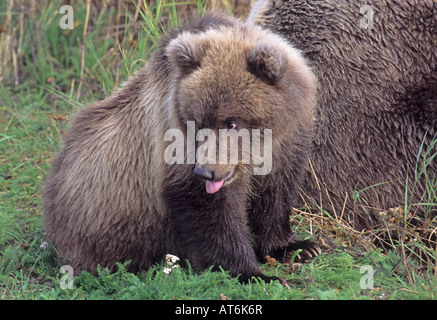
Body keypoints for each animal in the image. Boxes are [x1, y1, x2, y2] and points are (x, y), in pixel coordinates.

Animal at [43, 11, 320, 282]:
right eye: (197, 121)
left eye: (232, 122)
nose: (205, 171)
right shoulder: (174, 138)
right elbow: (210, 210)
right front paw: (254, 273)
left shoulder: (288, 141)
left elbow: (277, 192)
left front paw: (298, 247)